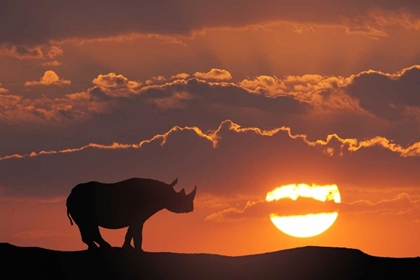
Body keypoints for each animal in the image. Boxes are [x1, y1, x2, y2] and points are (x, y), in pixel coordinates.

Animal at [66, 177, 197, 252]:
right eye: (179, 198)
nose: (190, 208)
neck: (162, 193)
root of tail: (69, 196)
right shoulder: (138, 216)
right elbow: (135, 232)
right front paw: (137, 250)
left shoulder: (140, 217)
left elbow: (133, 232)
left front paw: (131, 248)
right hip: (80, 204)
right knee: (87, 224)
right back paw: (106, 248)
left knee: (86, 225)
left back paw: (97, 248)